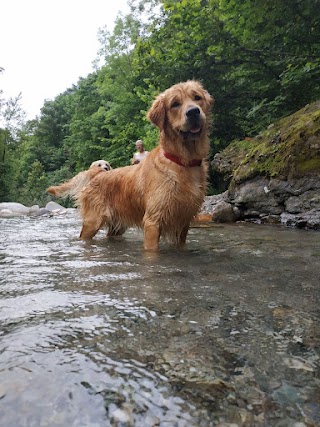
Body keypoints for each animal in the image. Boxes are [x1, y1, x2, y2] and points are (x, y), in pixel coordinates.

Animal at [76, 80, 214, 251]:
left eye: (197, 97)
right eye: (175, 104)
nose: (193, 112)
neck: (182, 161)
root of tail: (98, 174)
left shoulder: (183, 222)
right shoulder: (153, 221)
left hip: (117, 225)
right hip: (92, 222)